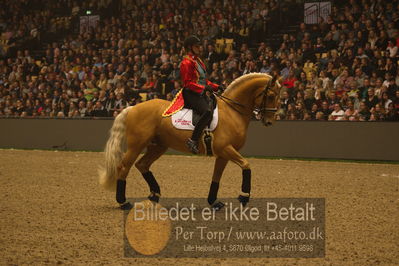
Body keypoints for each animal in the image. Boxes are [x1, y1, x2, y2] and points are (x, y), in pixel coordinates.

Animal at [99, 72, 282, 210]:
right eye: (271, 95)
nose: (270, 121)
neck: (232, 111)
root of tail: (132, 107)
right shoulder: (226, 149)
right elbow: (246, 165)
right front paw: (244, 196)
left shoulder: (223, 154)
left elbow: (217, 177)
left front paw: (214, 202)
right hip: (136, 145)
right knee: (124, 167)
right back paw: (124, 202)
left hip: (158, 146)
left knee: (142, 164)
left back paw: (154, 195)